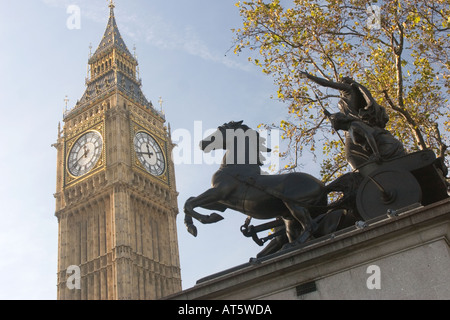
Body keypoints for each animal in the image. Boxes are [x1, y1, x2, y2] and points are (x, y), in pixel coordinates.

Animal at [185, 120, 328, 245]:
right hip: (289, 217)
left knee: (311, 225)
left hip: (294, 205)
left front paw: (208, 219)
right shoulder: (221, 203)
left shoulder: (218, 192)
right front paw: (192, 226)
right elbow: (189, 200)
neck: (235, 168)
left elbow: (189, 204)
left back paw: (294, 245)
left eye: (220, 128)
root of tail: (322, 186)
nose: (202, 143)